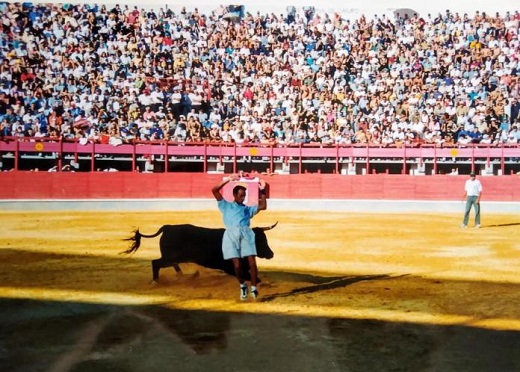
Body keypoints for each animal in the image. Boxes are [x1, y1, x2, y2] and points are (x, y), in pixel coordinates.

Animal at [123, 224, 276, 282]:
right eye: (259, 241)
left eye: (265, 239)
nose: (271, 254)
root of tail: (168, 227)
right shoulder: (230, 268)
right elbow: (249, 276)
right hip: (171, 256)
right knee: (156, 262)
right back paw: (156, 281)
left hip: (175, 257)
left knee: (171, 265)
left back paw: (184, 275)